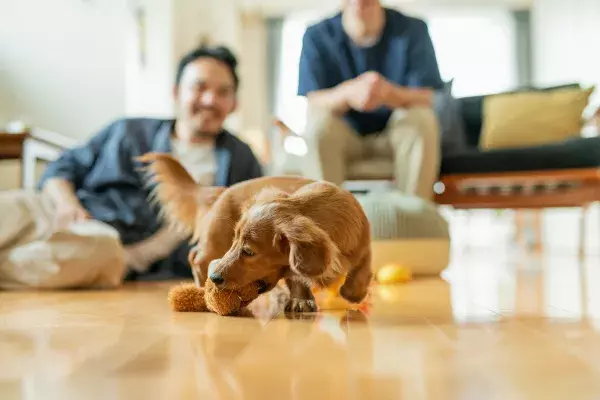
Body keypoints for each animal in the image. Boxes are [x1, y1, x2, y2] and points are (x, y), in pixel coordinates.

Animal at [137, 153, 370, 312]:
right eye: (236, 244)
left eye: (249, 252)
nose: (215, 278)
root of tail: (223, 191)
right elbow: (297, 278)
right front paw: (301, 300)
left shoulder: (363, 244)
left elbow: (362, 270)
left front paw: (354, 293)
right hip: (216, 242)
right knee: (196, 257)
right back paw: (201, 286)